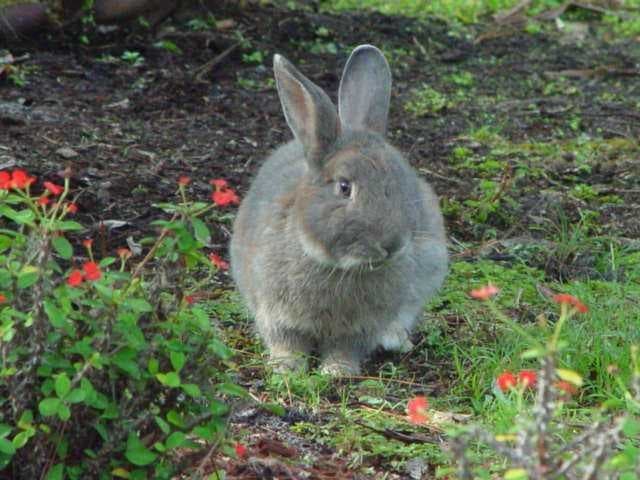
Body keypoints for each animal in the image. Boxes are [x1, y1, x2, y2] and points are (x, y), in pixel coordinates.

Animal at [230, 45, 448, 375]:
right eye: (344, 187)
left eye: (402, 182)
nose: (392, 245)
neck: (337, 266)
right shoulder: (273, 311)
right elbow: (286, 341)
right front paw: (286, 367)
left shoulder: (361, 327)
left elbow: (347, 347)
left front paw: (337, 371)